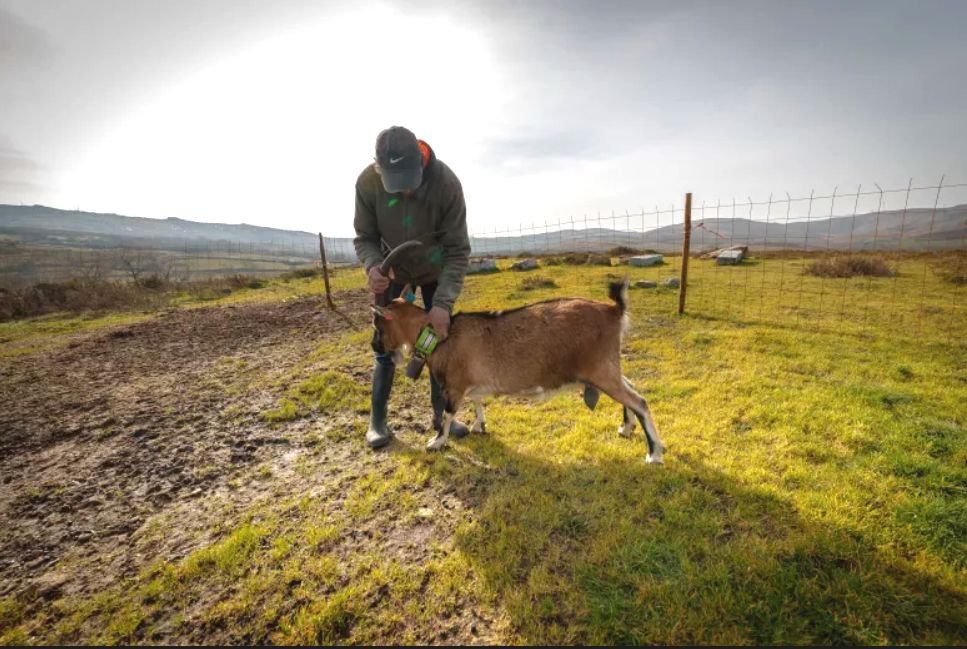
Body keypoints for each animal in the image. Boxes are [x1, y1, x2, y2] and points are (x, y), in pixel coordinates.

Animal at [370, 280, 664, 464]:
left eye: (378, 325)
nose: (375, 346)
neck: (441, 336)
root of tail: (615, 311)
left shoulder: (455, 385)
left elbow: (448, 414)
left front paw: (436, 442)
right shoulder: (470, 383)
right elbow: (477, 401)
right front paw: (479, 426)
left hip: (601, 370)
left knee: (640, 401)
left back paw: (655, 454)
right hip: (606, 368)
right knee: (632, 388)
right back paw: (626, 428)